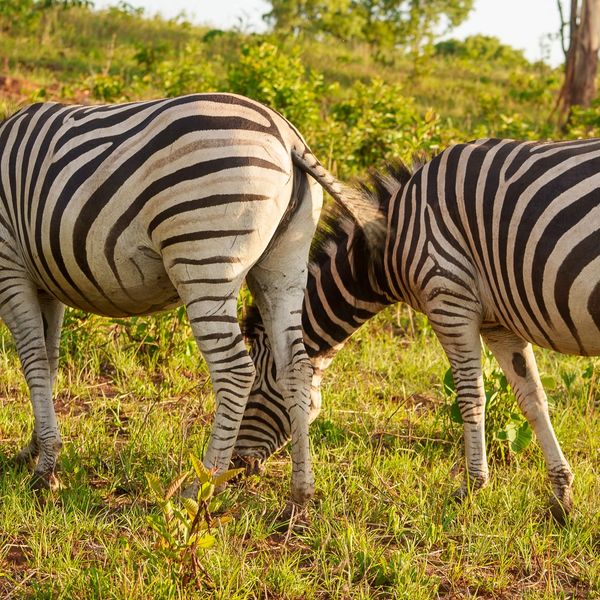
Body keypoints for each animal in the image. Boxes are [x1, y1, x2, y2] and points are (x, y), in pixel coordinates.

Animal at [0, 92, 380, 506]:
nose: (245, 467)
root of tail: (286, 134)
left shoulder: (10, 268)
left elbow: (34, 361)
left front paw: (45, 467)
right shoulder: (45, 284)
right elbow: (50, 361)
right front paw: (34, 449)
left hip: (205, 258)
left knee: (235, 371)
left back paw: (201, 488)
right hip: (282, 268)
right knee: (295, 366)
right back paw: (300, 495)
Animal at [233, 139, 600, 520]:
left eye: (255, 389)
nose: (236, 468)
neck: (391, 245)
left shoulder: (448, 299)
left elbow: (471, 397)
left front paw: (471, 487)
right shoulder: (498, 324)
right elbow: (533, 400)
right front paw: (561, 495)